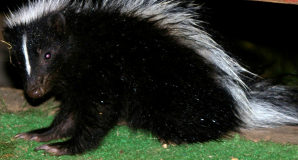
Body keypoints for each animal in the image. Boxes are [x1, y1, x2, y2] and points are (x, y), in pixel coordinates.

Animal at [1, 0, 298, 156]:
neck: (81, 32)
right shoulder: (79, 78)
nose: (34, 92)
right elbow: (72, 111)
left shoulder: (104, 66)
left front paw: (65, 147)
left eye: (48, 54)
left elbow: (100, 110)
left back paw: (178, 137)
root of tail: (238, 102)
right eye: (17, 61)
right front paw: (43, 133)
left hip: (177, 90)